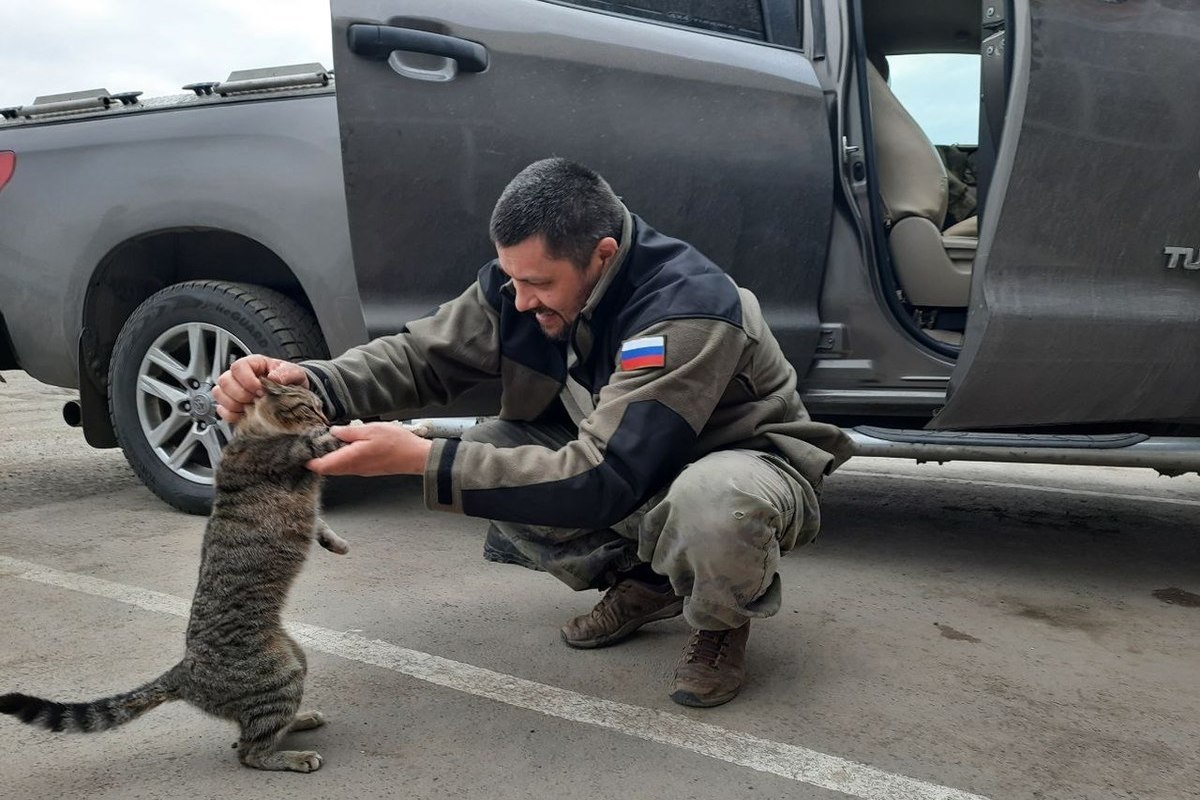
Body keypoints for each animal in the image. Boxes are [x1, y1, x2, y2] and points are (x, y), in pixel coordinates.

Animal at [0, 381, 348, 777]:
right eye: (310, 407)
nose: (328, 418)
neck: (254, 432)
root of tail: (183, 672)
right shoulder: (297, 454)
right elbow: (325, 446)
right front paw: (360, 434)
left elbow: (320, 523)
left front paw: (335, 542)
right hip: (281, 674)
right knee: (250, 751)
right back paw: (295, 756)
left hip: (295, 660)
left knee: (257, 730)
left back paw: (300, 720)